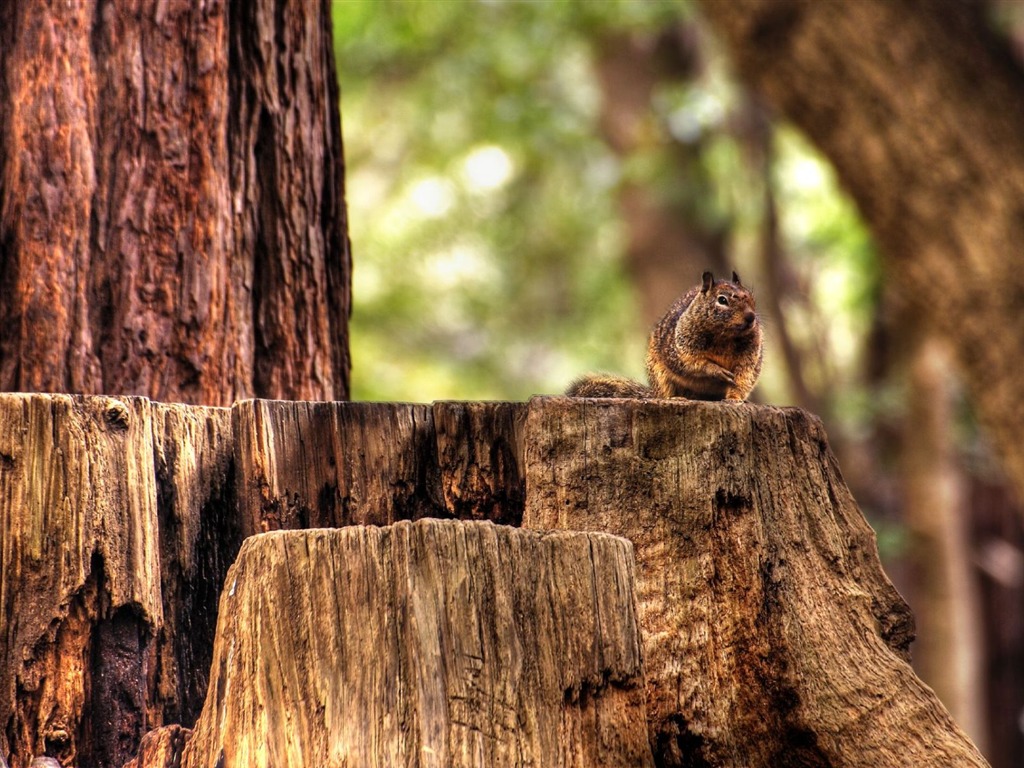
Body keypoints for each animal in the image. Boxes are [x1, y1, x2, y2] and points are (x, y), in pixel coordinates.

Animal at [569, 270, 761, 403]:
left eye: (751, 297)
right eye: (722, 300)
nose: (751, 317)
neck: (725, 336)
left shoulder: (750, 355)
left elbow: (743, 377)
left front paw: (735, 399)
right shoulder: (680, 347)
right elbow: (691, 363)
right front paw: (716, 370)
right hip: (659, 375)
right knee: (666, 392)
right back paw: (675, 398)